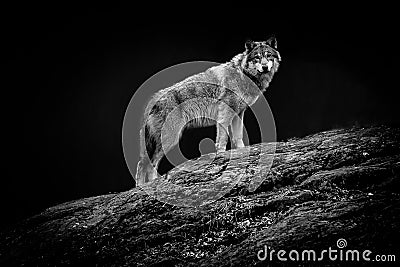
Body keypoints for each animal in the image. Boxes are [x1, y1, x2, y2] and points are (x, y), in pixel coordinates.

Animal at [136, 36, 280, 186]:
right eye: (257, 57)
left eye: (268, 56)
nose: (265, 67)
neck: (243, 74)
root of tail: (152, 100)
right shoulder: (225, 114)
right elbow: (222, 138)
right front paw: (221, 155)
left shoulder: (238, 114)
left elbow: (238, 136)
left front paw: (242, 151)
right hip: (168, 139)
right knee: (146, 164)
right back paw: (147, 185)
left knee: (144, 163)